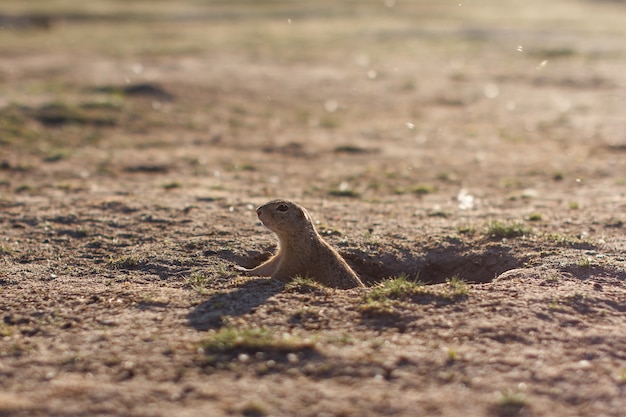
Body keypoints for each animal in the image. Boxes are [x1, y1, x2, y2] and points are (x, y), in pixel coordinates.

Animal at [236, 199, 364, 290]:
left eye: (283, 207)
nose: (258, 210)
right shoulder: (280, 257)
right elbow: (266, 266)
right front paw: (243, 269)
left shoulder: (295, 259)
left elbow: (281, 274)